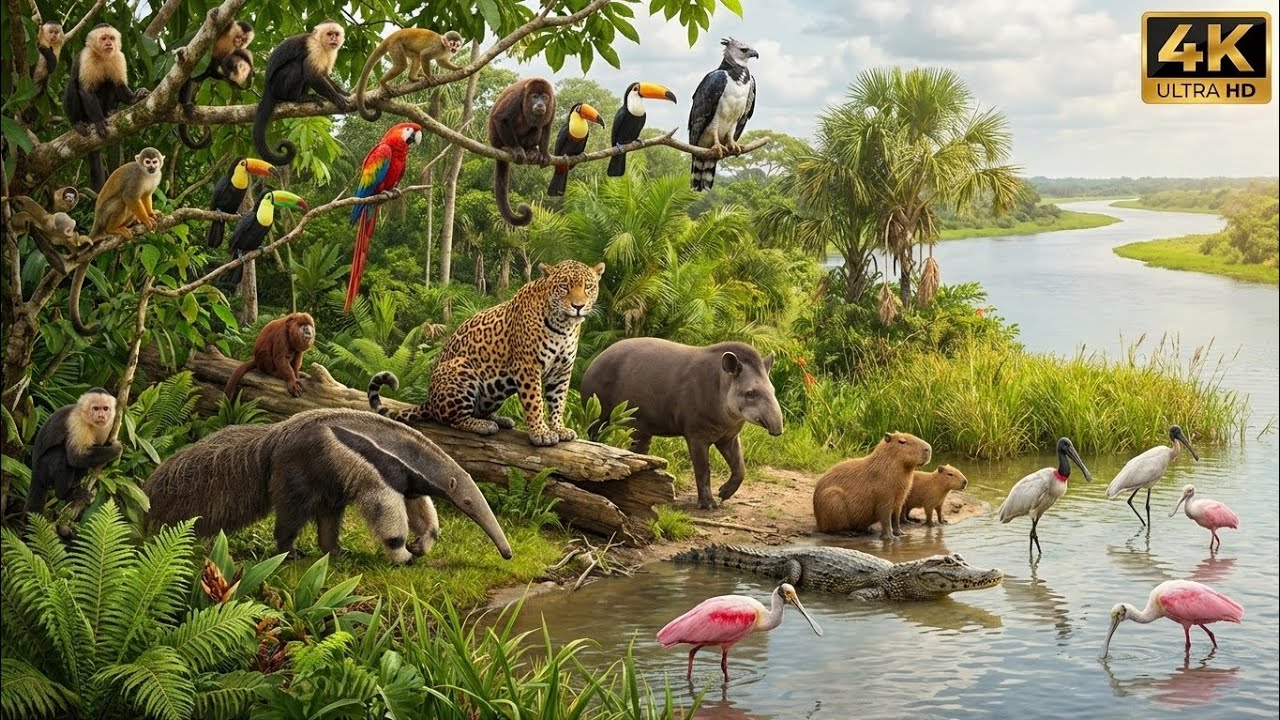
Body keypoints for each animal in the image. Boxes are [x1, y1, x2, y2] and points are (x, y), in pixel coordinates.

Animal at [24, 389, 123, 518]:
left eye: (105, 408)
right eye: (96, 408)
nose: (101, 416)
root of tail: (34, 472)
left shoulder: (108, 425)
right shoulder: (77, 422)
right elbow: (76, 456)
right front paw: (115, 450)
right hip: (42, 469)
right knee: (60, 454)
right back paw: (66, 494)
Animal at [63, 25, 150, 190]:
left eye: (111, 38)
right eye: (103, 38)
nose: (109, 44)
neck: (103, 56)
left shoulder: (118, 56)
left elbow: (119, 85)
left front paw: (136, 97)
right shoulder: (86, 57)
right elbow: (86, 91)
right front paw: (98, 121)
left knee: (109, 81)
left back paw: (110, 112)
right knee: (72, 84)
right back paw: (78, 123)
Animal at [178, 20, 256, 150]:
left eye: (244, 39)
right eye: (239, 37)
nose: (240, 42)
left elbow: (239, 54)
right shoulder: (226, 27)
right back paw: (187, 104)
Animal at [253, 21, 349, 166]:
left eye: (336, 34)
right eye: (329, 34)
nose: (334, 39)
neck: (321, 43)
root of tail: (267, 87)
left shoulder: (332, 52)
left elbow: (323, 74)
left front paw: (343, 92)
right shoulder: (315, 48)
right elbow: (312, 74)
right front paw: (337, 97)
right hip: (278, 85)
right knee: (298, 64)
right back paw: (297, 98)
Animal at [487, 78, 555, 227]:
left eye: (544, 97)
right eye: (534, 97)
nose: (540, 104)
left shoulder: (553, 102)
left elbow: (547, 126)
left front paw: (544, 154)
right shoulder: (517, 96)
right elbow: (500, 118)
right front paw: (515, 149)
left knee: (538, 126)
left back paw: (531, 151)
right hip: (496, 139)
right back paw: (507, 148)